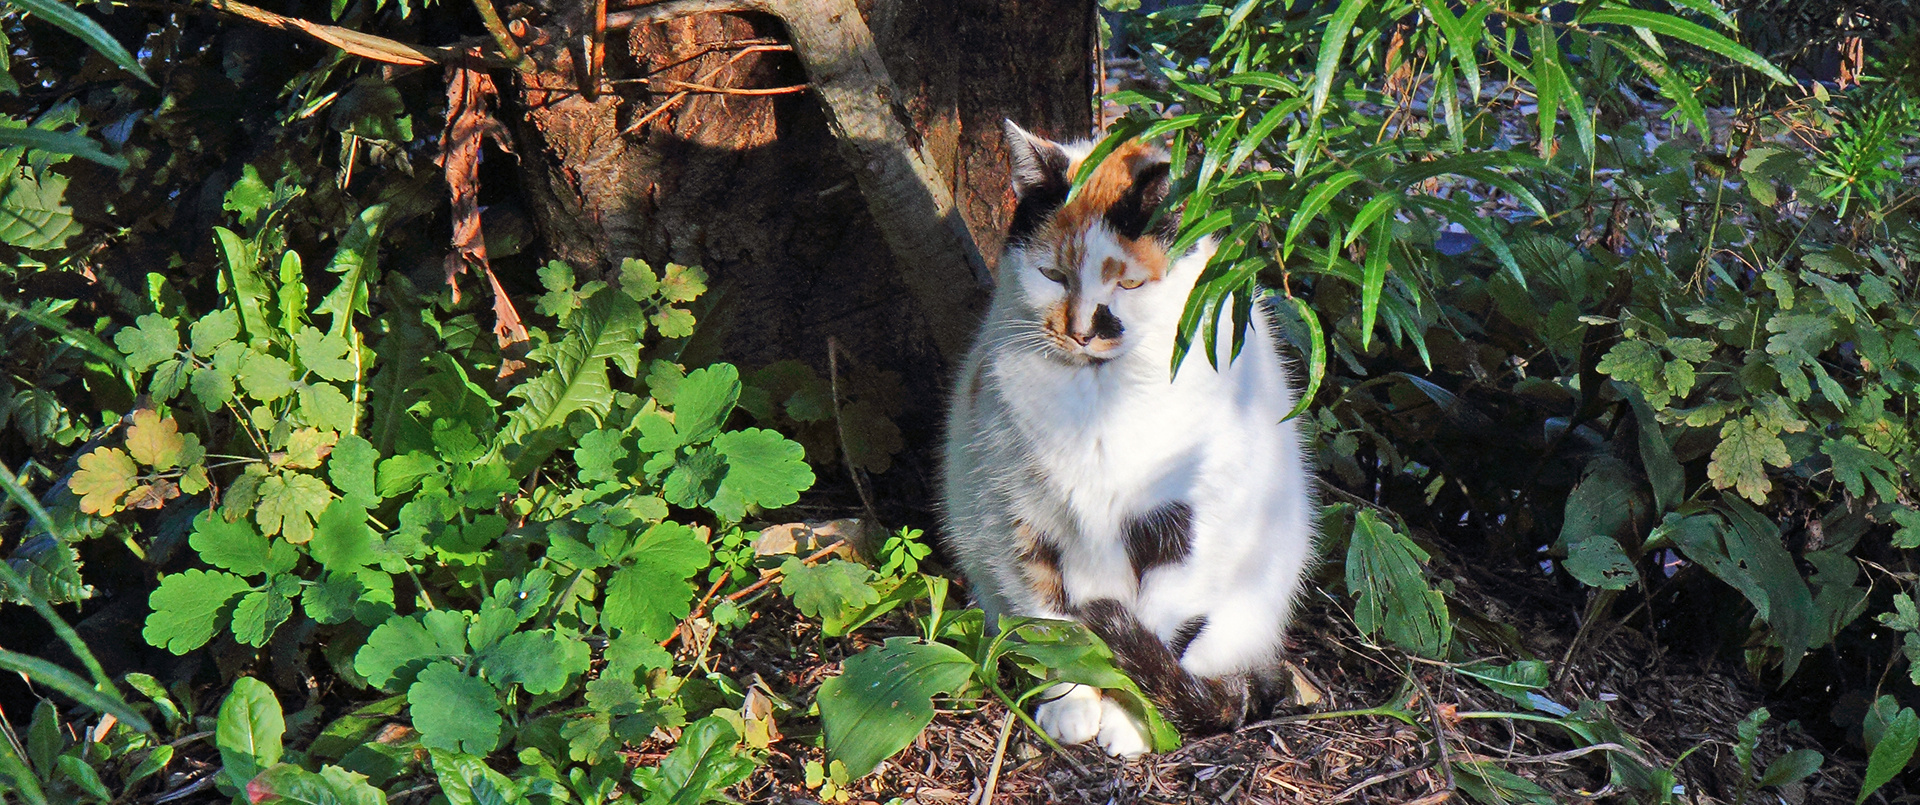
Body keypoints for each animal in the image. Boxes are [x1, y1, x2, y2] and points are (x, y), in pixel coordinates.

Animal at [940, 122, 1320, 760]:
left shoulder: (1187, 531)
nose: (1080, 331)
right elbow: (1057, 625)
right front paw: (1071, 704)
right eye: (1051, 275)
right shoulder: (1021, 521)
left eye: (1131, 282)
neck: (1101, 403)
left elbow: (1158, 636)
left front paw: (1131, 721)